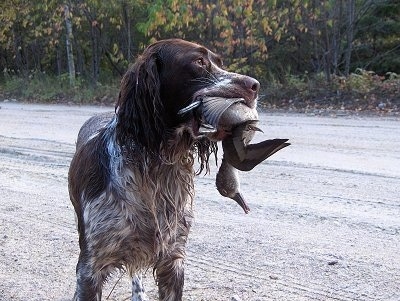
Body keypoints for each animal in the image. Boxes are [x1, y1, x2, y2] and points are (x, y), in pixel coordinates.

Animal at [68, 38, 260, 298]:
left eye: (220, 62)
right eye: (199, 62)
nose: (255, 85)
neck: (156, 168)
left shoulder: (173, 258)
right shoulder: (91, 268)